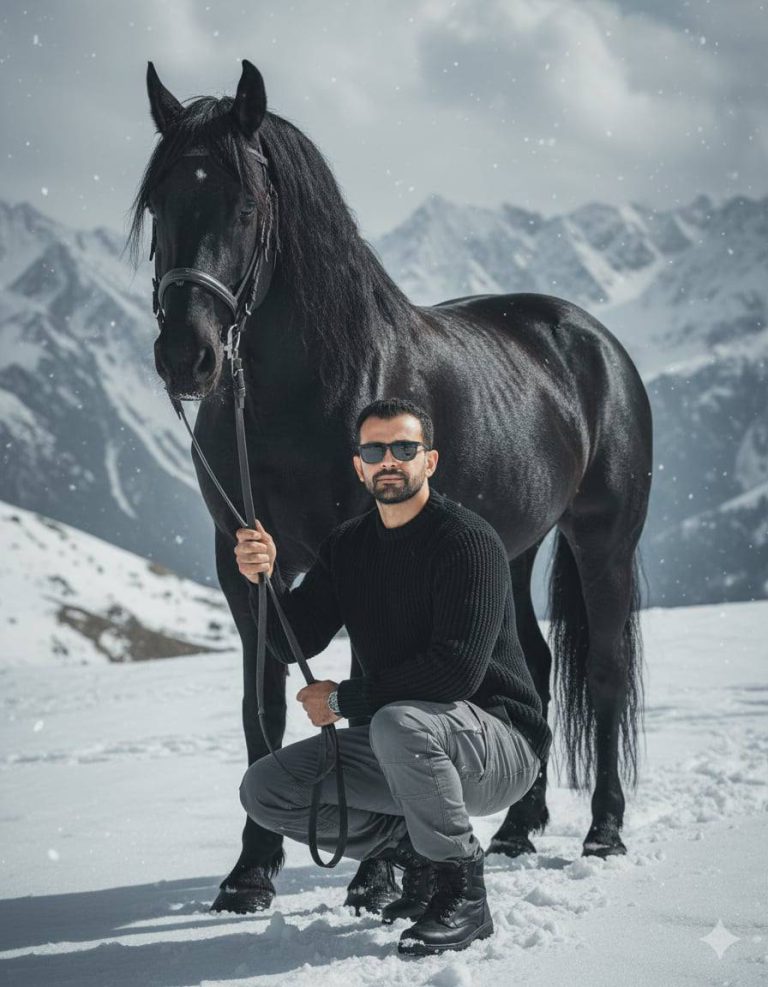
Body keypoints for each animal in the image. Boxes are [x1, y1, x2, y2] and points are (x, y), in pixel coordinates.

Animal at [126, 58, 652, 914]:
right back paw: (516, 828)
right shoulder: (242, 563)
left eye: (247, 204)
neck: (305, 389)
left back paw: (603, 830)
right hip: (511, 548)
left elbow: (372, 686)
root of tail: (593, 339)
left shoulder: (355, 556)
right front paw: (250, 872)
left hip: (601, 540)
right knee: (535, 668)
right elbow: (261, 704)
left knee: (603, 672)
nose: (186, 357)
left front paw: (375, 872)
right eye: (159, 201)